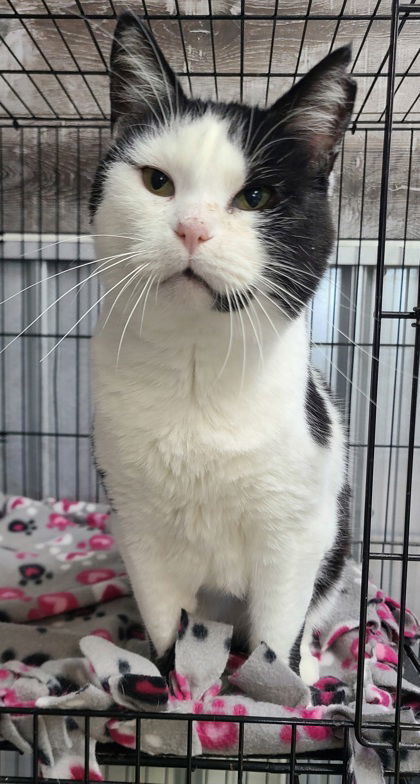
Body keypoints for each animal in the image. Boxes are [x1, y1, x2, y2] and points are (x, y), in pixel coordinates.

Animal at [90, 12, 356, 684]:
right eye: (157, 182)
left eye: (255, 197)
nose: (192, 228)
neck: (195, 368)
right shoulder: (138, 527)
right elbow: (167, 624)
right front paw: (171, 687)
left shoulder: (297, 534)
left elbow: (279, 631)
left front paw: (273, 690)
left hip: (337, 544)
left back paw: (311, 668)